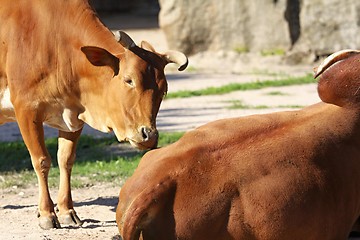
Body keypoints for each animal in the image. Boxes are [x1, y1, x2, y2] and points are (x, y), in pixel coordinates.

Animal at [0, 0, 188, 229]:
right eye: (129, 80)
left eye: (164, 90)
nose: (148, 135)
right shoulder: (26, 109)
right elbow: (42, 161)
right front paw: (47, 213)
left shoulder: (72, 115)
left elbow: (66, 160)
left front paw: (67, 211)